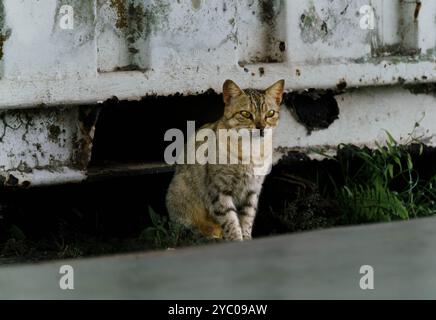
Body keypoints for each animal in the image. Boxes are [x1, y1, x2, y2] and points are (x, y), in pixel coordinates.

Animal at [165, 79, 284, 240]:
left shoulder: (252, 190)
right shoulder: (219, 190)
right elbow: (230, 222)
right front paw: (236, 239)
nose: (261, 128)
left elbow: (247, 218)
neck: (252, 150)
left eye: (270, 113)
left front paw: (246, 237)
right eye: (246, 114)